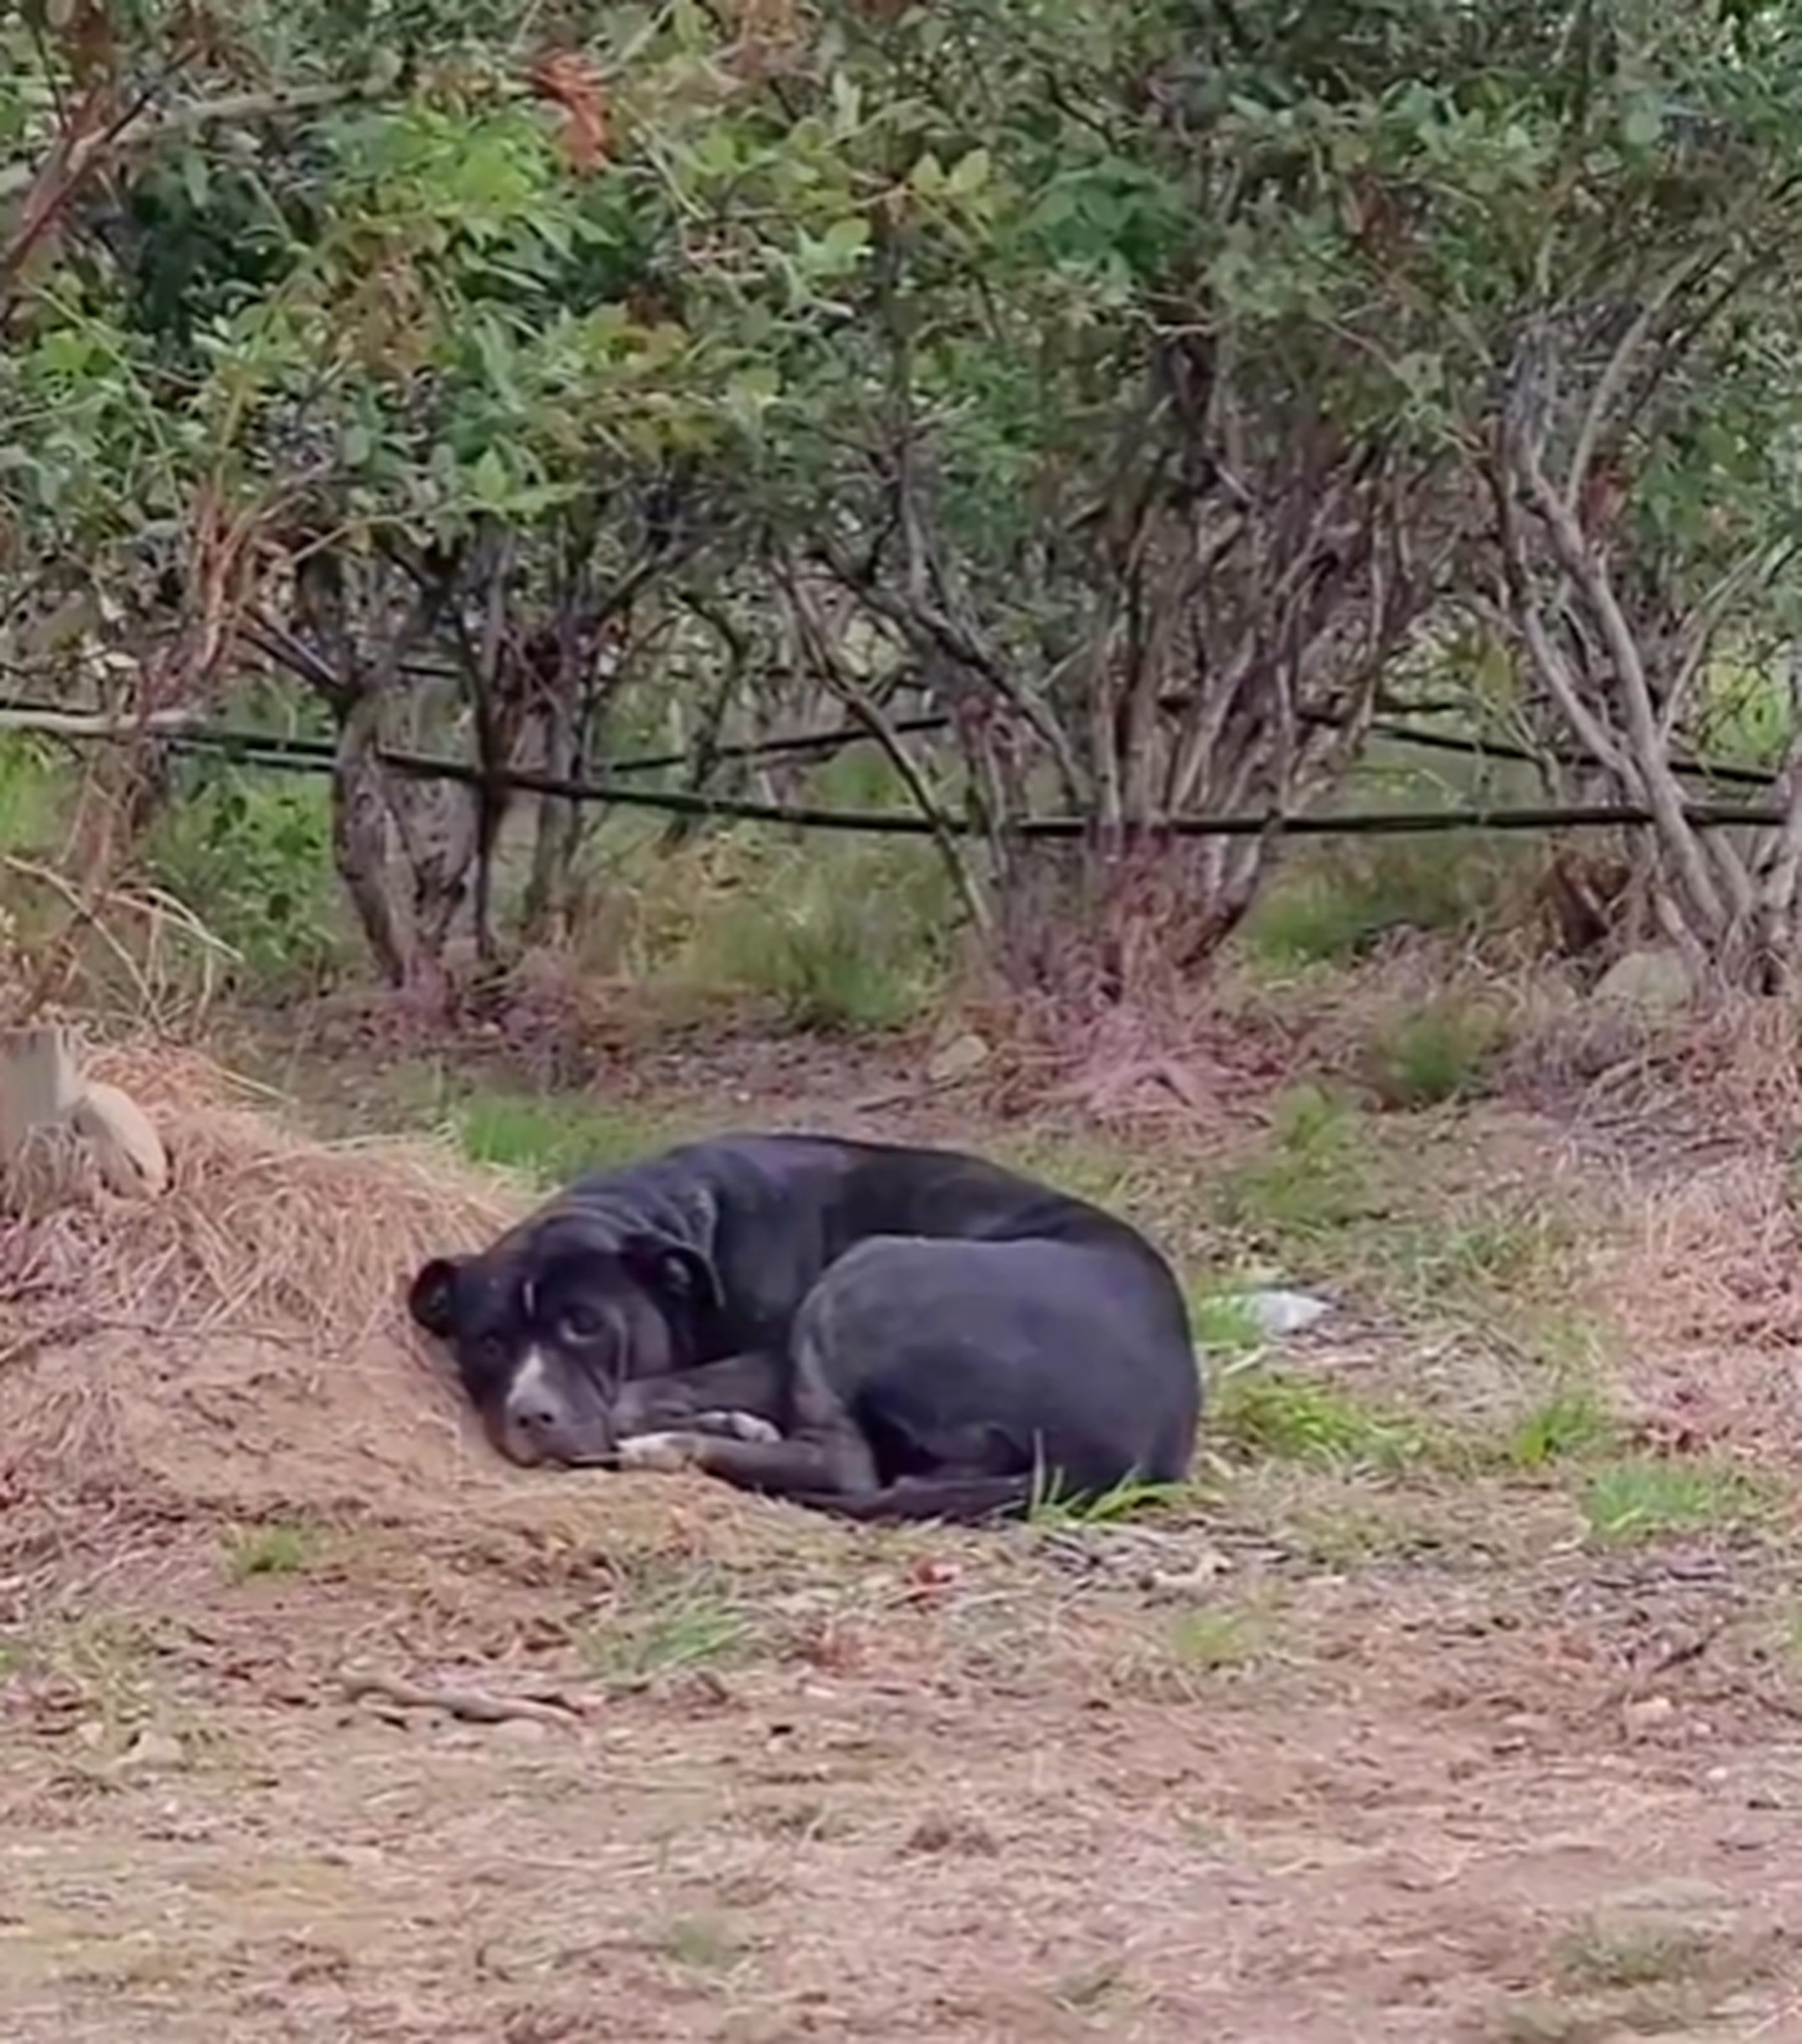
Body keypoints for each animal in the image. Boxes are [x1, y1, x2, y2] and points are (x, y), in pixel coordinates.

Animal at [406, 1136, 1192, 1521]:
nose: (530, 1413)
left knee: (843, 1462)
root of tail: (1143, 1448)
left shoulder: (768, 1355)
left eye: (585, 1324)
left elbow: (651, 1389)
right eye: (489, 1342)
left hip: (868, 1270)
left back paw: (675, 1445)